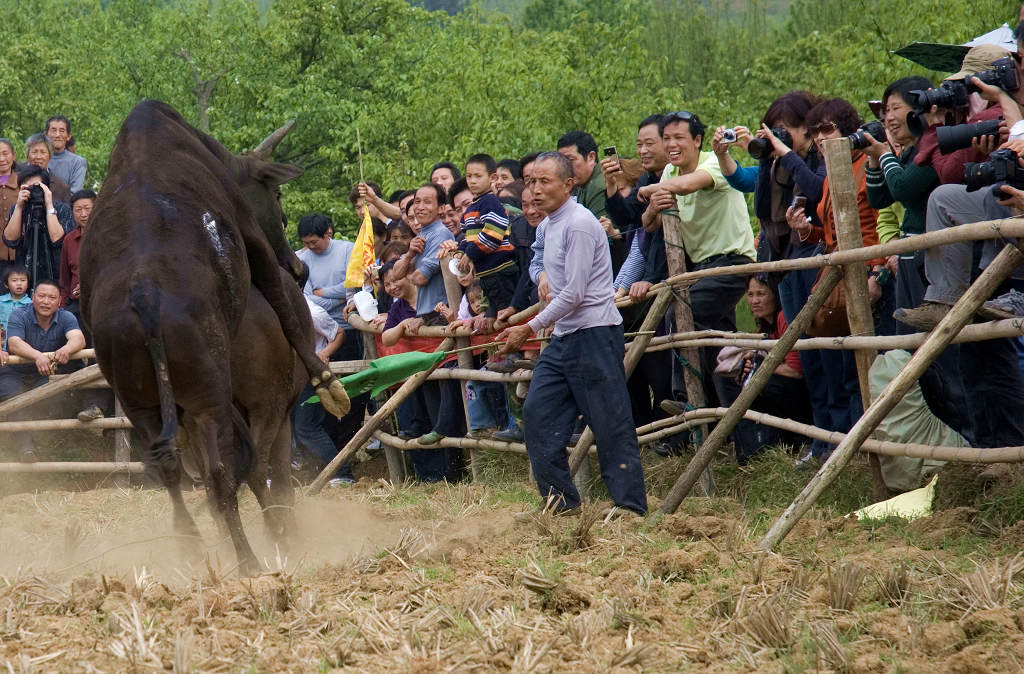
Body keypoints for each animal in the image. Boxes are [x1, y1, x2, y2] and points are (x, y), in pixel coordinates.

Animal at [79, 100, 342, 573]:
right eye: (276, 197)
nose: (299, 268)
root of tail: (145, 293)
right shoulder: (251, 236)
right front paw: (327, 381)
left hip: (141, 402)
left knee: (174, 471)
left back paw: (192, 544)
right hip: (210, 398)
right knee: (227, 473)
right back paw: (250, 559)